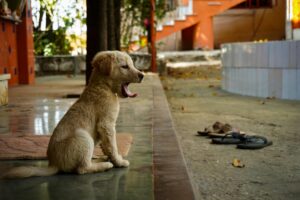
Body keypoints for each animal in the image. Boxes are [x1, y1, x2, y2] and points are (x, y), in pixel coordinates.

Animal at [3, 50, 144, 178]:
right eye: (125, 66)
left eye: (132, 65)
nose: (142, 75)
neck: (104, 86)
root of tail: (54, 164)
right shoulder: (106, 124)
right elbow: (113, 146)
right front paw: (119, 162)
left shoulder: (104, 129)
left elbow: (107, 146)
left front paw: (112, 157)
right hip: (83, 137)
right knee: (82, 169)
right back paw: (104, 165)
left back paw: (100, 158)